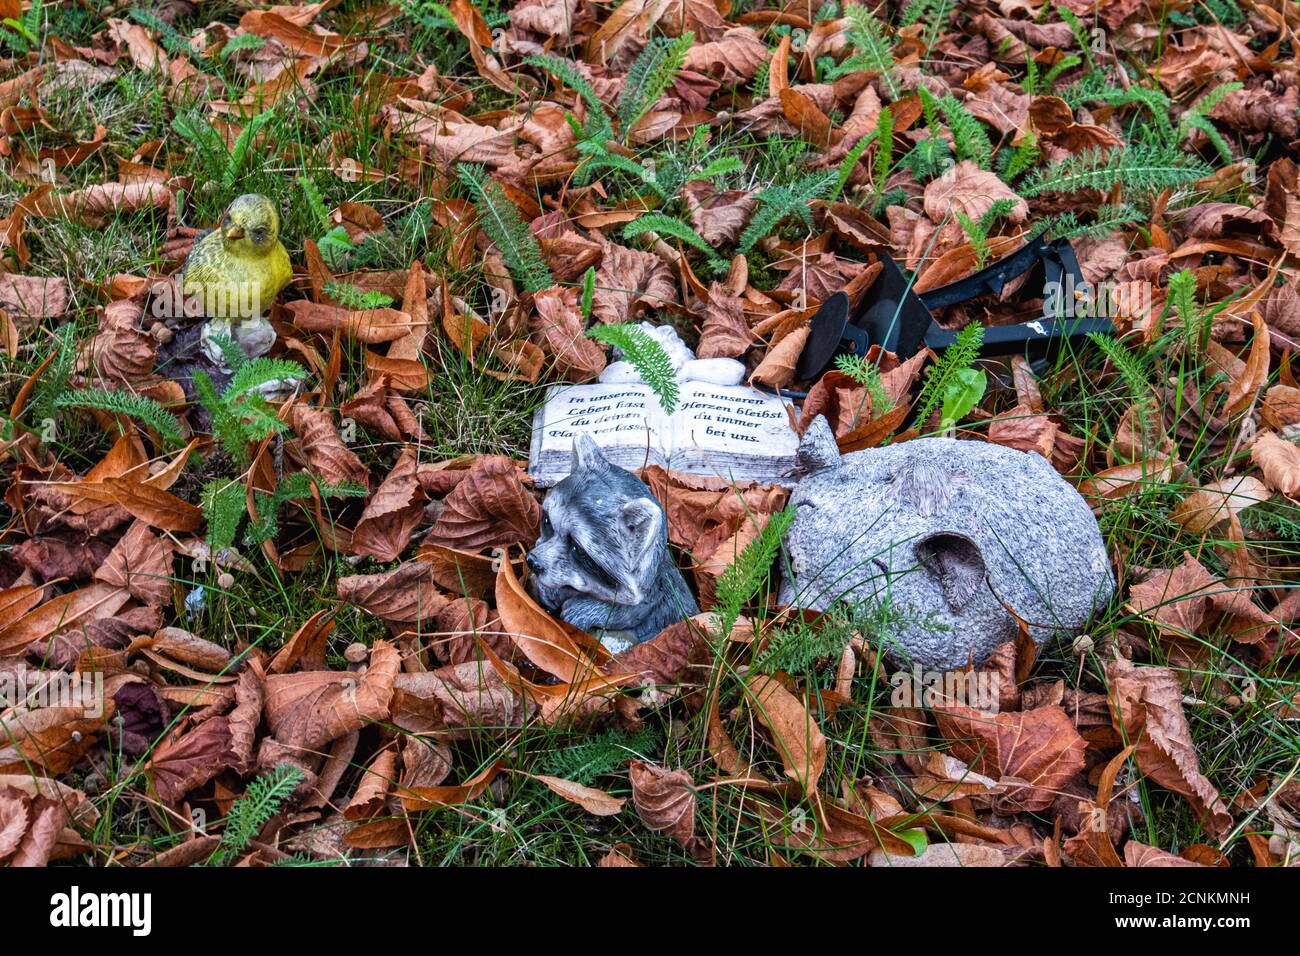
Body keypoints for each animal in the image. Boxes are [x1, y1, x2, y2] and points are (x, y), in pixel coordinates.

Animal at [525, 434, 698, 652]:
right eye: (547, 522)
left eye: (578, 549)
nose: (532, 561)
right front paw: (550, 589)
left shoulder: (656, 598)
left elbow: (630, 612)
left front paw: (589, 608)